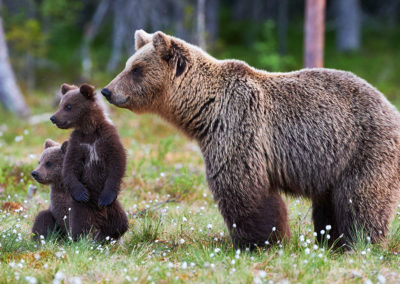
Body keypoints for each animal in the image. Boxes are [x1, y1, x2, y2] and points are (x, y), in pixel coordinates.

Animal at [101, 30, 400, 250]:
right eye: (128, 65)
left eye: (136, 68)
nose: (107, 90)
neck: (205, 111)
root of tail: (390, 106)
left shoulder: (239, 128)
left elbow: (241, 188)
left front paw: (258, 241)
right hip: (333, 165)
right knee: (329, 205)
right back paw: (332, 242)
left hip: (364, 149)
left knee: (360, 199)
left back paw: (360, 242)